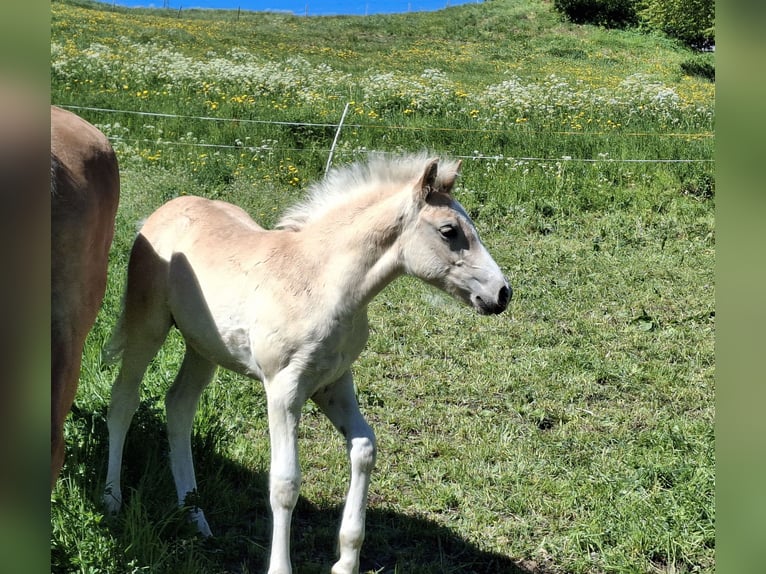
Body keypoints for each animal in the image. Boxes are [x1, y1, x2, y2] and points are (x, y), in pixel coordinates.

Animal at [102, 152, 510, 574]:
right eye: (449, 231)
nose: (501, 293)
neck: (322, 283)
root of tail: (161, 213)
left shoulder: (333, 382)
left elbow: (364, 447)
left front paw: (346, 561)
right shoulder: (284, 389)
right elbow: (285, 482)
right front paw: (281, 567)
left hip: (203, 348)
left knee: (179, 406)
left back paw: (195, 518)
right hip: (148, 326)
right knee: (124, 400)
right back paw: (112, 501)